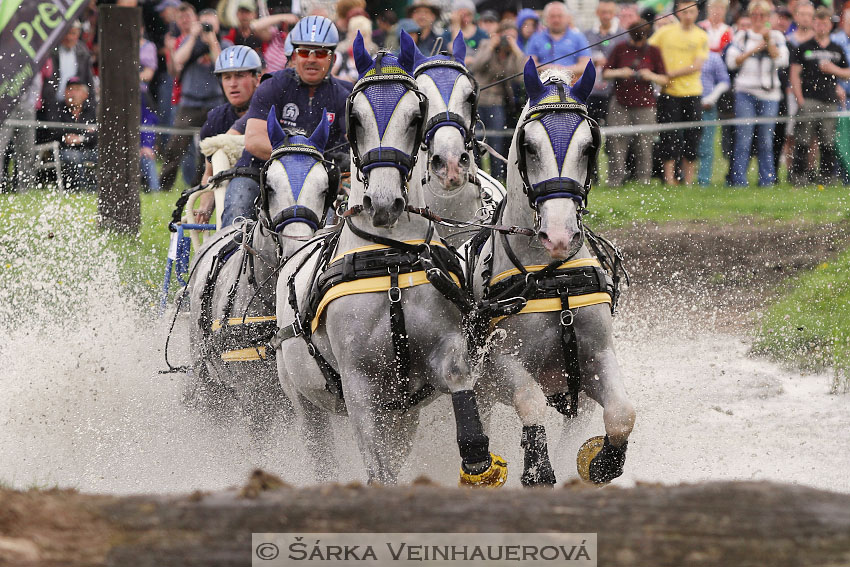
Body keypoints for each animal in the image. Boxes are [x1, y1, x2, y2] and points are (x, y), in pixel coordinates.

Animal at [274, 33, 506, 488]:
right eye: (356, 118)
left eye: (415, 115)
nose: (383, 202)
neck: (389, 261)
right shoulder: (360, 385)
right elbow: (378, 471)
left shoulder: (443, 354)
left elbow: (459, 380)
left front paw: (478, 462)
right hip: (307, 406)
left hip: (402, 413)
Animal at [470, 58, 636, 488]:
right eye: (529, 146)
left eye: (590, 146)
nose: (559, 235)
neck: (553, 277)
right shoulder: (500, 364)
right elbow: (531, 402)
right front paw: (537, 468)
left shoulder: (596, 358)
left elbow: (622, 414)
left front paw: (603, 462)